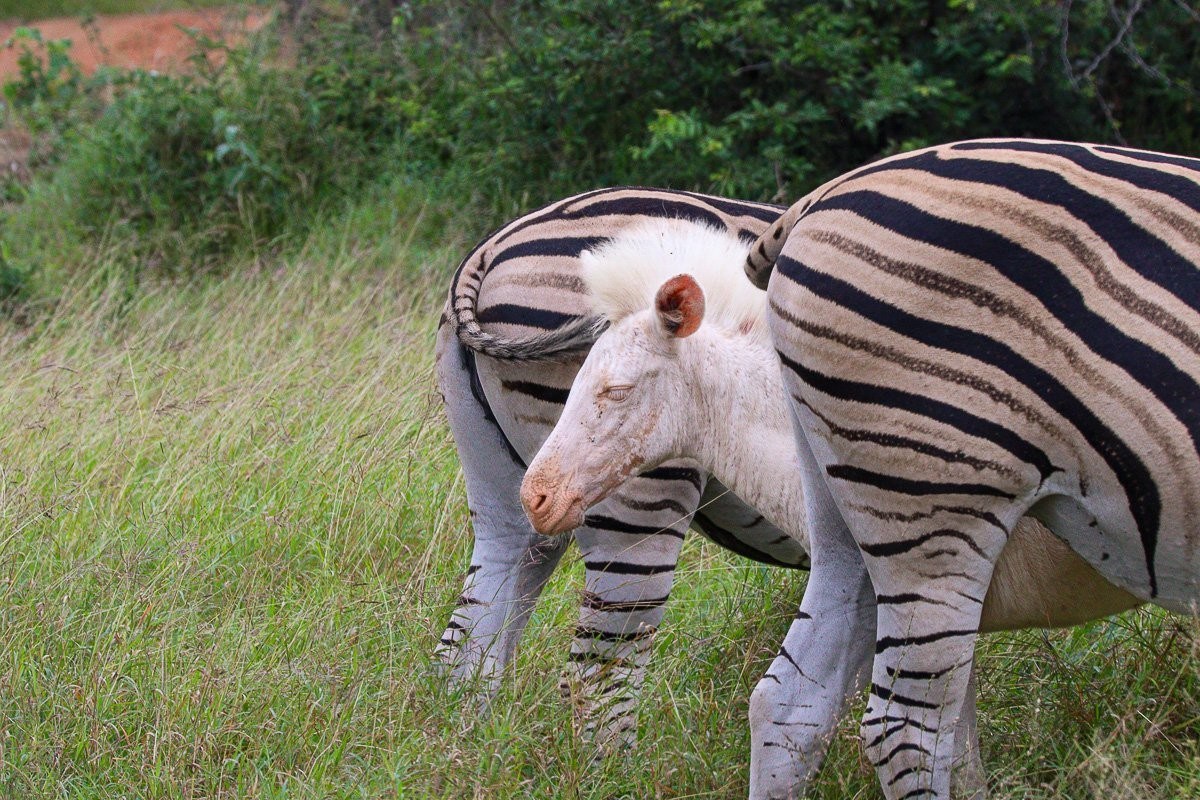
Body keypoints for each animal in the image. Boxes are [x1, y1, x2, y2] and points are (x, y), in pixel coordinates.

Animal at [434, 186, 808, 751]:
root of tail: (490, 246)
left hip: (505, 493)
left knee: (469, 643)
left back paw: (455, 746)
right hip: (633, 515)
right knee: (597, 681)